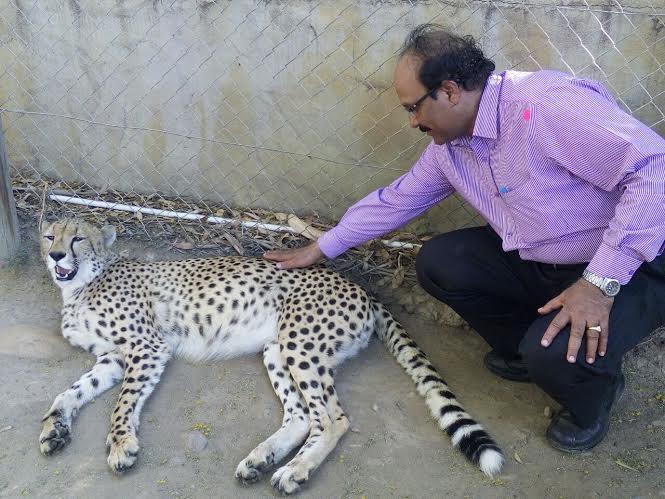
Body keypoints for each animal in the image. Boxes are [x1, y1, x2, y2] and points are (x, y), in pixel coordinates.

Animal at [39, 220, 500, 496]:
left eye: (77, 238)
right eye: (49, 237)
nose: (56, 255)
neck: (82, 284)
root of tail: (358, 285)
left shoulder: (148, 348)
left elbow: (121, 404)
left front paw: (121, 444)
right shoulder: (114, 357)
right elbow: (70, 392)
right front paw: (53, 428)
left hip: (300, 343)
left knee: (334, 418)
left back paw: (295, 471)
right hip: (276, 348)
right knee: (303, 416)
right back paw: (262, 460)